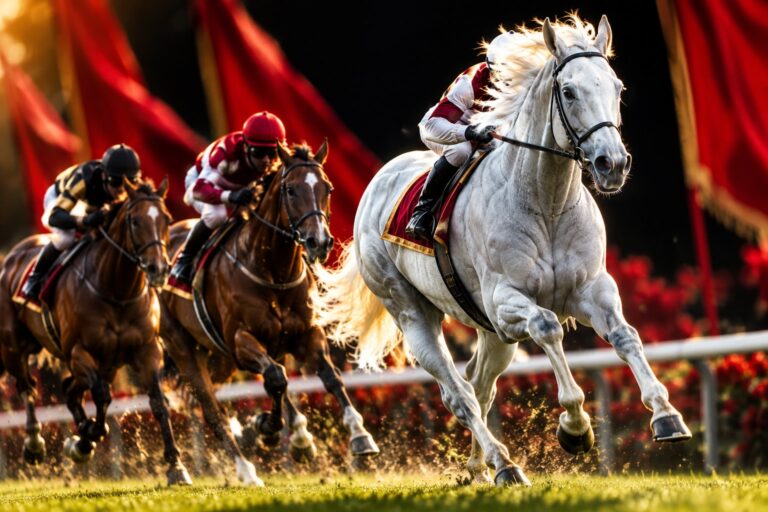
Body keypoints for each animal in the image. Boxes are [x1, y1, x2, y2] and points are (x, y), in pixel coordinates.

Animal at [0, 179, 192, 484]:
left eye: (167, 218)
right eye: (135, 221)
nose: (159, 268)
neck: (116, 291)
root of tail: (12, 256)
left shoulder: (147, 351)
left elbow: (159, 403)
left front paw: (176, 465)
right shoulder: (79, 351)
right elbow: (102, 395)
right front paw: (89, 434)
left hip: (106, 364)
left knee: (69, 389)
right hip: (13, 347)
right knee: (27, 387)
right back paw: (35, 444)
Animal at [159, 142, 379, 486]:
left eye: (327, 188)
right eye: (290, 190)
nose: (319, 241)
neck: (273, 270)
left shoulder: (306, 334)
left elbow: (329, 377)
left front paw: (360, 437)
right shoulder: (240, 341)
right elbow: (275, 378)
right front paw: (267, 427)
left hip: (218, 359)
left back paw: (297, 437)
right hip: (185, 350)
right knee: (213, 409)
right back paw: (245, 469)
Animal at [316, 15, 692, 486]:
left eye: (617, 87)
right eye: (568, 91)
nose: (612, 163)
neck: (545, 202)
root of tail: (377, 183)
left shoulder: (590, 288)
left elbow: (626, 336)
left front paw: (667, 416)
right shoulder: (505, 301)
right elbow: (547, 327)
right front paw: (574, 427)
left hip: (493, 335)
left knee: (480, 386)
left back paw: (482, 465)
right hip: (410, 310)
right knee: (459, 395)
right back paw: (505, 463)